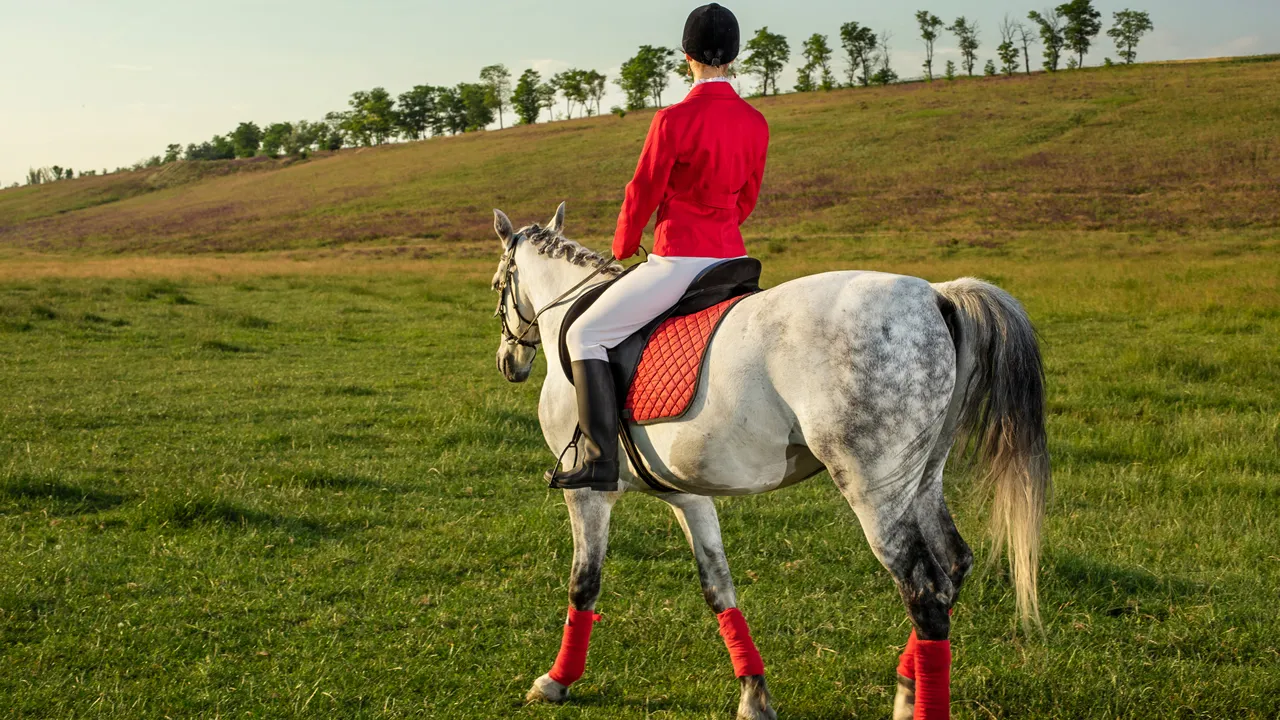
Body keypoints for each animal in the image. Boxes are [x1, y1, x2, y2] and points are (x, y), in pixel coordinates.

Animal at [488, 203, 1049, 717]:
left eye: (497, 286)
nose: (509, 363)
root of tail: (935, 294)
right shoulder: (689, 495)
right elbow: (719, 587)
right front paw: (753, 695)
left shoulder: (588, 491)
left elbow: (584, 583)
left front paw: (556, 681)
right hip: (923, 479)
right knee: (953, 567)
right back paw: (908, 687)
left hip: (876, 492)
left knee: (925, 593)